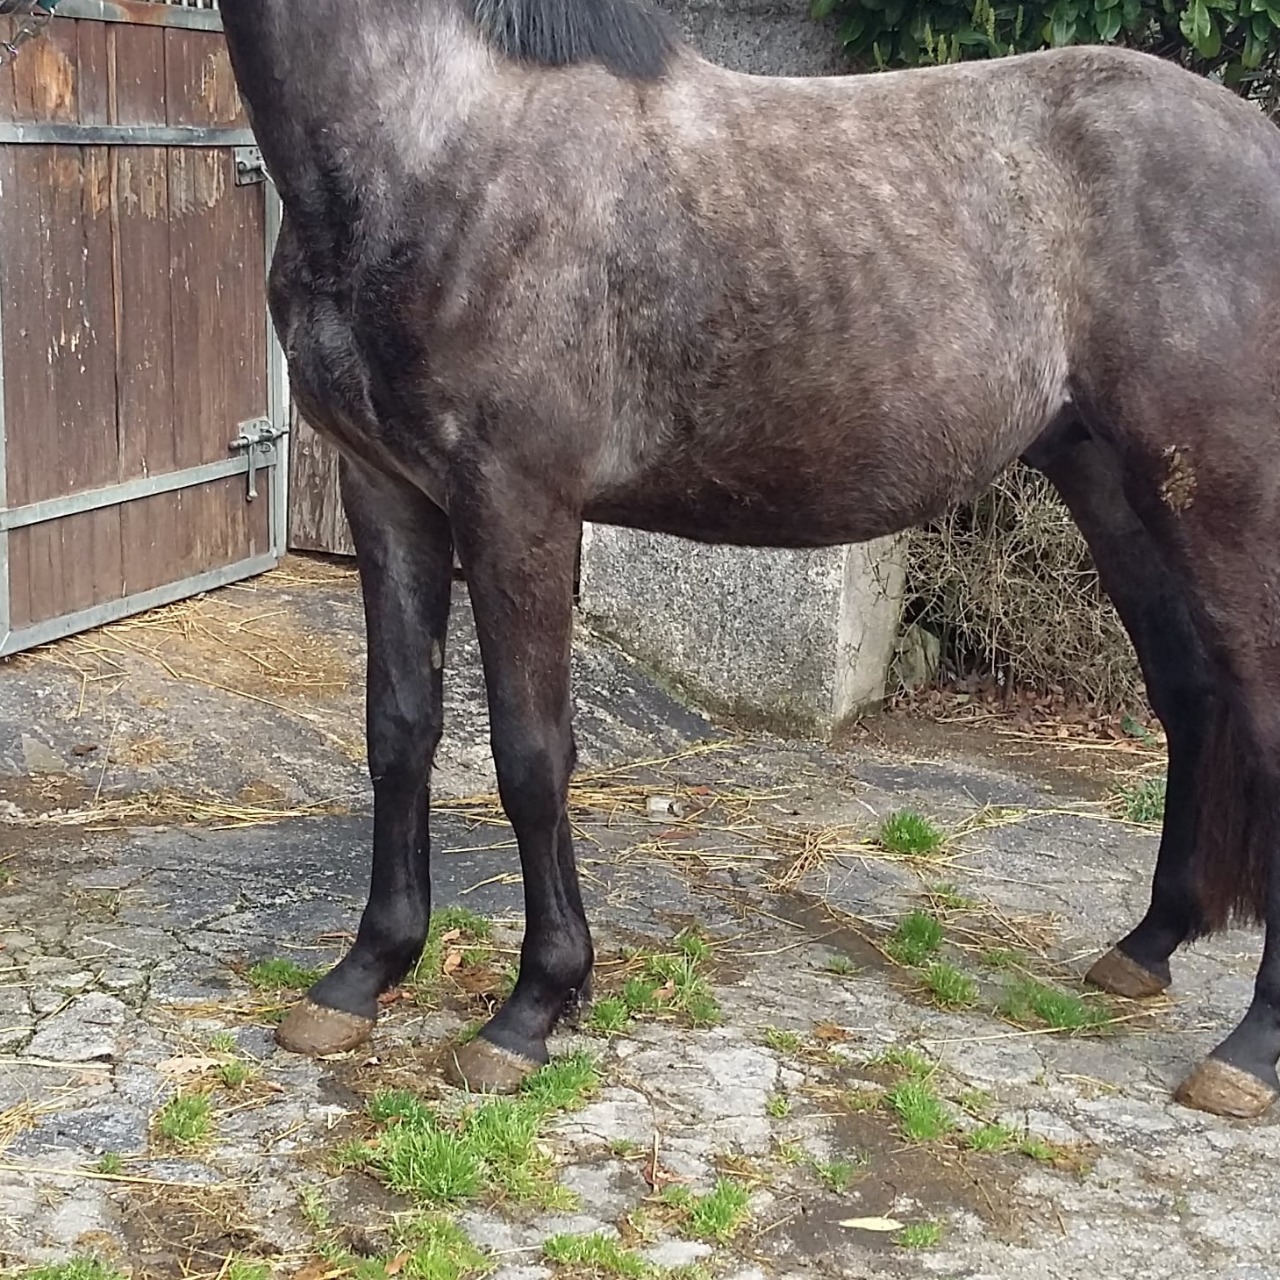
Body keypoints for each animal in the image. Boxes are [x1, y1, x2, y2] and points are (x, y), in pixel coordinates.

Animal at [217, 0, 1280, 1119]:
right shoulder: (387, 492)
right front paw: (362, 976)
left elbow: (530, 756)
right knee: (1189, 697)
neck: (439, 138)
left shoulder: (515, 506)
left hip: (1221, 496)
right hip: (1110, 484)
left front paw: (532, 1005)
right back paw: (1146, 947)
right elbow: (398, 732)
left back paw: (1246, 1049)